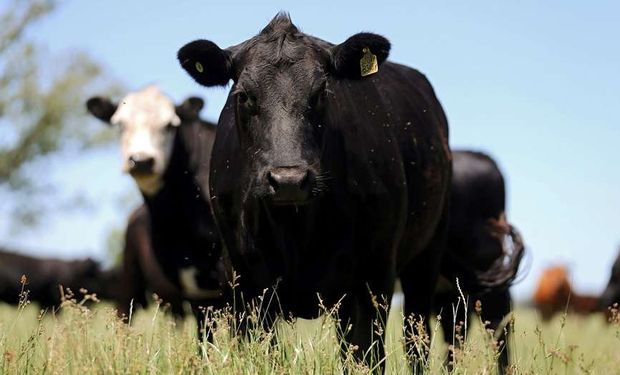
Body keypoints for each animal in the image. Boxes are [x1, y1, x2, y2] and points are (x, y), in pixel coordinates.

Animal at [177, 13, 452, 372]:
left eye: (321, 92)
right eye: (244, 95)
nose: (289, 179)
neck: (296, 231)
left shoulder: (374, 274)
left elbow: (368, 356)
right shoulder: (243, 281)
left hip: (426, 256)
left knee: (416, 341)